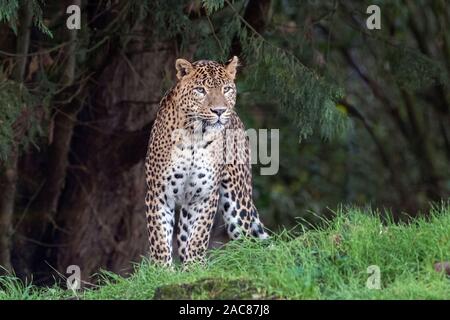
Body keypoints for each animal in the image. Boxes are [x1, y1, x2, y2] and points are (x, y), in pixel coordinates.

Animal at [144, 56, 268, 266]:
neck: (194, 136)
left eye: (226, 89)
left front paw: (195, 266)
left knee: (247, 240)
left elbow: (199, 235)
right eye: (200, 90)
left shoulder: (205, 194)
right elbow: (159, 237)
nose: (219, 111)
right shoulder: (159, 193)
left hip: (237, 201)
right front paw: (162, 269)